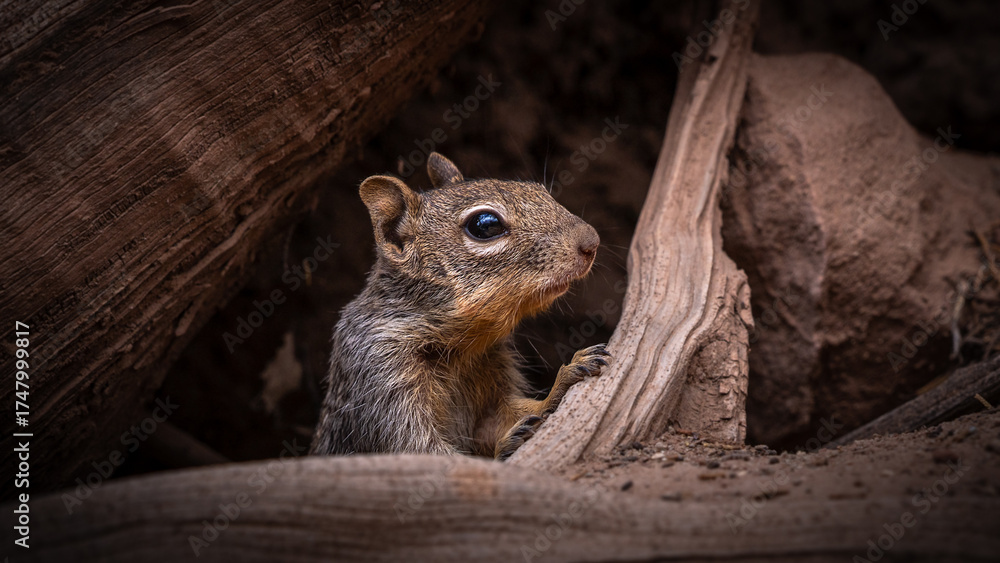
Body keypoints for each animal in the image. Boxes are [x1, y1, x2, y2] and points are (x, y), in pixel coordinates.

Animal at [310, 152, 609, 460]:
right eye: (485, 225)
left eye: (539, 189)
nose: (591, 241)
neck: (460, 346)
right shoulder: (380, 378)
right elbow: (423, 450)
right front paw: (506, 446)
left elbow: (500, 418)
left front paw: (561, 383)